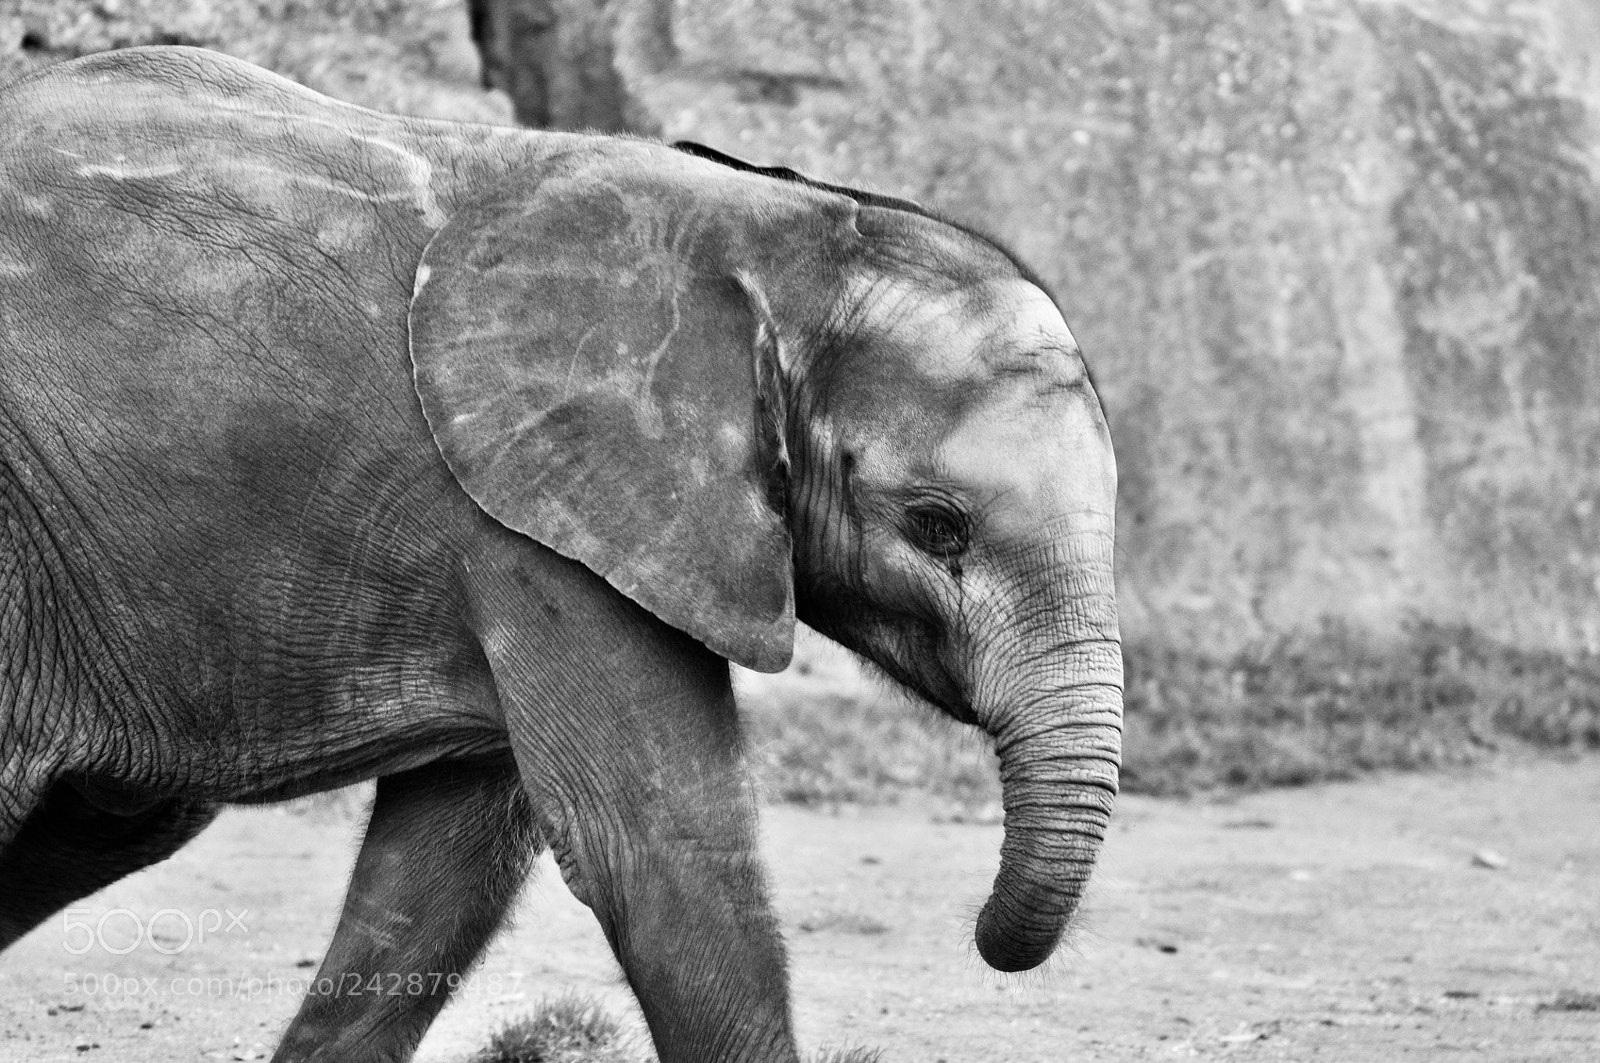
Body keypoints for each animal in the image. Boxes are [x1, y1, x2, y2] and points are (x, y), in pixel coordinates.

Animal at [0, 46, 1123, 1063]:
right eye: (938, 525)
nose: (982, 936)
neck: (779, 230)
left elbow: (441, 873)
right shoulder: (537, 522)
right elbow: (660, 855)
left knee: (112, 823)